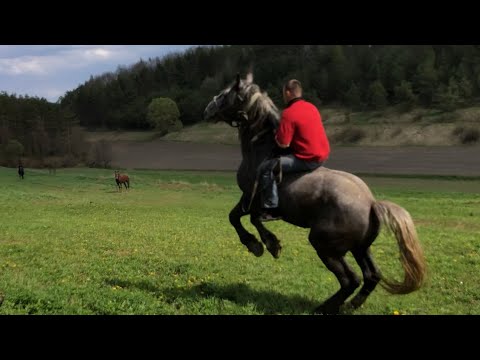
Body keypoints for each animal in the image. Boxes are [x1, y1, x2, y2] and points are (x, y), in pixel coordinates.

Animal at [201, 74, 426, 316]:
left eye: (227, 94)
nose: (208, 108)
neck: (262, 148)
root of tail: (371, 204)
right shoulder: (246, 199)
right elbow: (234, 217)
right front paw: (255, 244)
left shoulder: (252, 199)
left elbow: (250, 219)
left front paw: (267, 245)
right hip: (360, 248)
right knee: (371, 276)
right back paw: (351, 305)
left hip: (325, 246)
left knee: (350, 280)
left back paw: (324, 307)